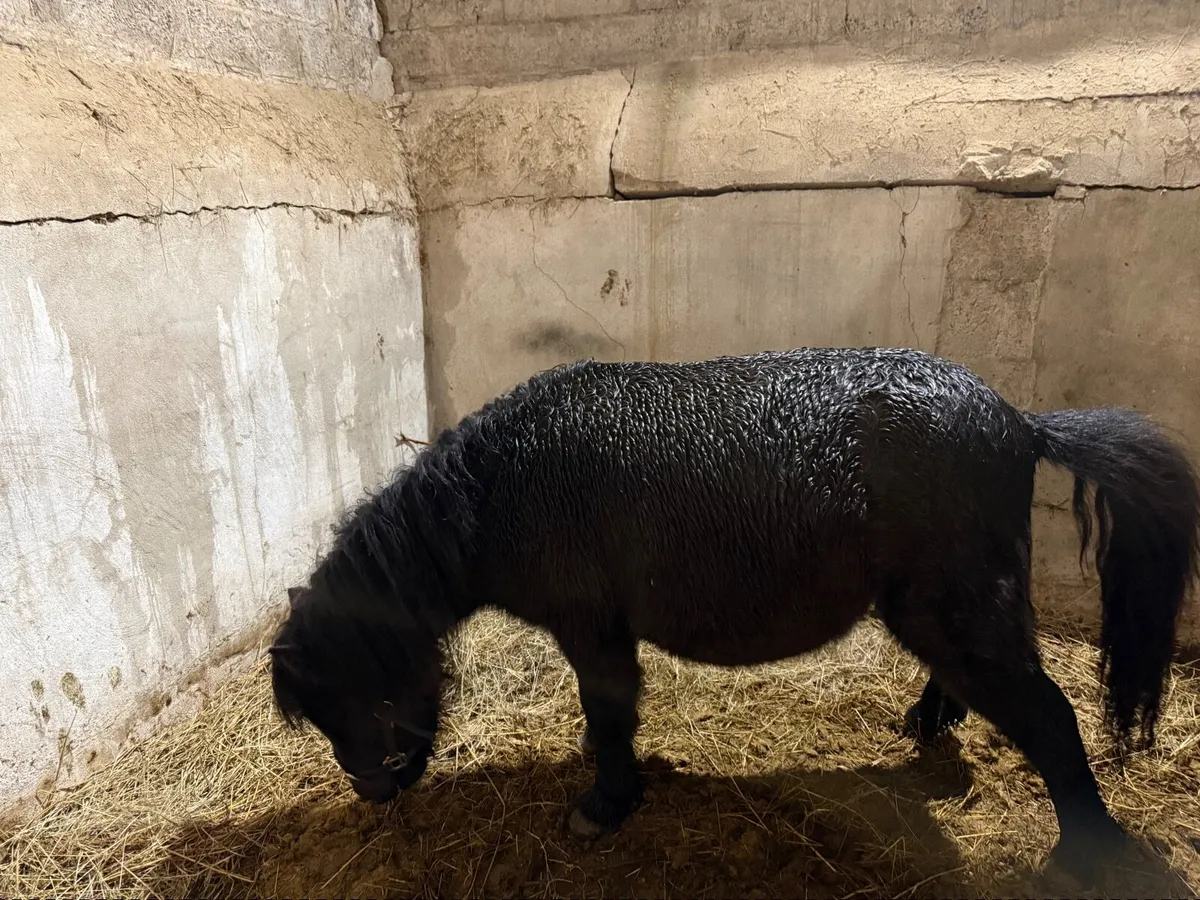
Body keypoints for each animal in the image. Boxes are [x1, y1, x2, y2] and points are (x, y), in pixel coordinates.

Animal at [269, 347, 1199, 880]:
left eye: (352, 690)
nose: (372, 790)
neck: (501, 488)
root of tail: (1017, 421)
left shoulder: (592, 629)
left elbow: (611, 713)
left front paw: (605, 803)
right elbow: (607, 714)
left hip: (957, 610)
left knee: (1049, 717)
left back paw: (1084, 852)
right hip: (945, 610)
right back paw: (931, 726)